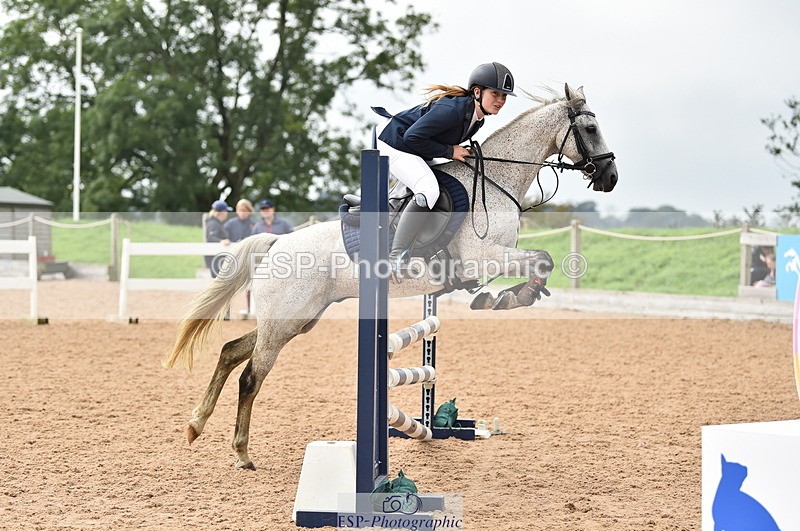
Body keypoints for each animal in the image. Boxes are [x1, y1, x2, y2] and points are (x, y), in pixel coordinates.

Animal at [163, 83, 619, 470]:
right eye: (590, 128)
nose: (610, 178)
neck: (495, 182)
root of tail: (276, 244)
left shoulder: (490, 260)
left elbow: (540, 261)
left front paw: (500, 297)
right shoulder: (484, 258)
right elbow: (542, 259)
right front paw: (508, 297)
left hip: (297, 319)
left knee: (230, 351)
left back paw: (196, 425)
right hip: (285, 321)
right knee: (250, 377)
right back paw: (241, 453)